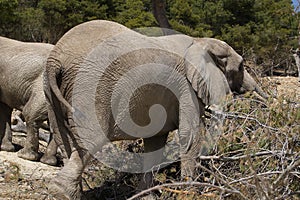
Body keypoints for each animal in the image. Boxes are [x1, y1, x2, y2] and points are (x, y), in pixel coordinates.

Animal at [44, 19, 268, 198]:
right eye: (241, 67)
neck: (201, 41)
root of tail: (56, 59)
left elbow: (155, 142)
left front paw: (145, 197)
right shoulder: (186, 86)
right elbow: (190, 134)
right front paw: (190, 193)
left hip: (52, 92)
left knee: (64, 139)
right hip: (92, 85)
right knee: (91, 140)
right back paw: (60, 193)